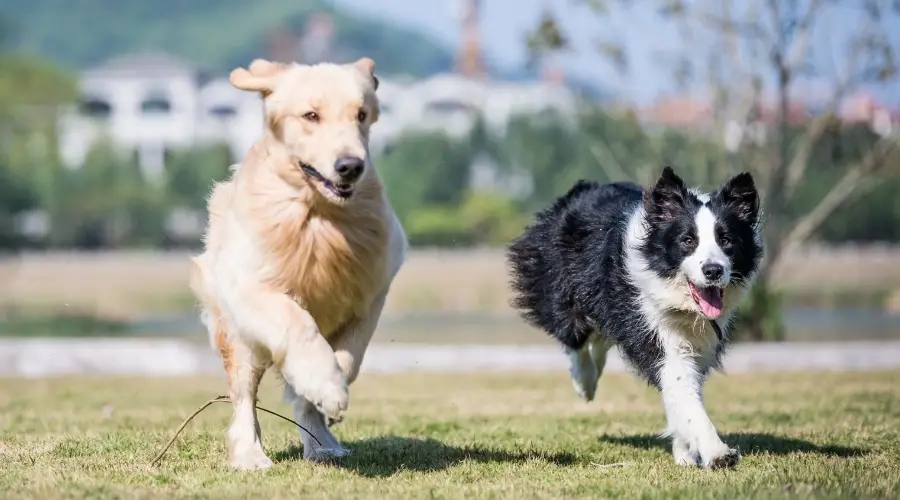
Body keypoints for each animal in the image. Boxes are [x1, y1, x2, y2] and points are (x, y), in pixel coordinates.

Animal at [506, 167, 760, 468]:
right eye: (688, 241)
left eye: (726, 241)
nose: (713, 271)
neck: (680, 302)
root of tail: (584, 189)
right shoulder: (652, 326)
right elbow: (683, 392)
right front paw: (717, 452)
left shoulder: (700, 342)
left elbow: (684, 393)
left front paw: (686, 453)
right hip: (560, 285)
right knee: (574, 334)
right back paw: (585, 383)